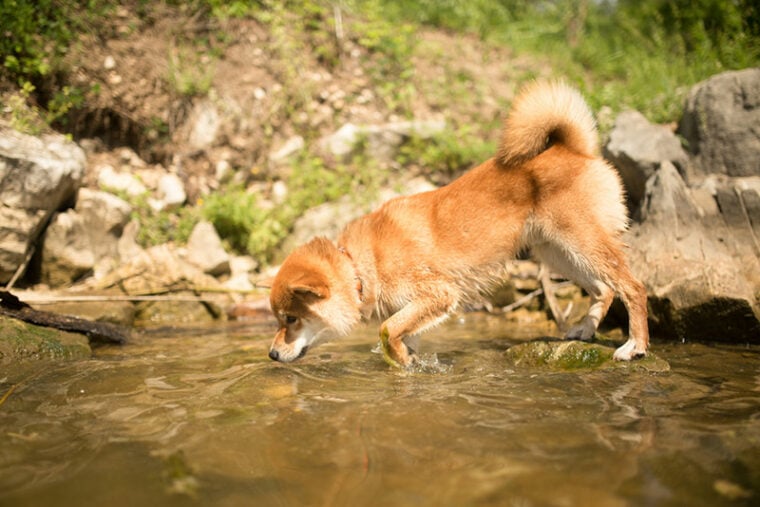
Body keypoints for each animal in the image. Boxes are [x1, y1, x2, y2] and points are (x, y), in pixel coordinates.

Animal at [266, 82, 648, 370]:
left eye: (290, 319)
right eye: (280, 319)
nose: (270, 353)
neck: (360, 264)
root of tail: (574, 149)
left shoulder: (439, 292)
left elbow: (388, 329)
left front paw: (401, 359)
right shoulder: (421, 307)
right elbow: (402, 333)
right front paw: (407, 360)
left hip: (581, 243)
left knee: (632, 287)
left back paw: (635, 345)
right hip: (558, 254)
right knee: (604, 289)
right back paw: (584, 330)